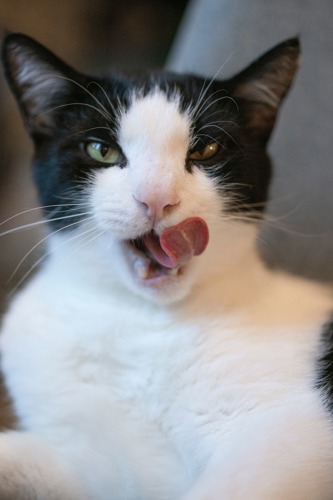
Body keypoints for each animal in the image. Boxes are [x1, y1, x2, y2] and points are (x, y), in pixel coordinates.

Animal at [0, 32, 332, 500]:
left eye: (207, 148)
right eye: (101, 149)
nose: (156, 198)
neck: (142, 325)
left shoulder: (288, 431)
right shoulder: (90, 465)